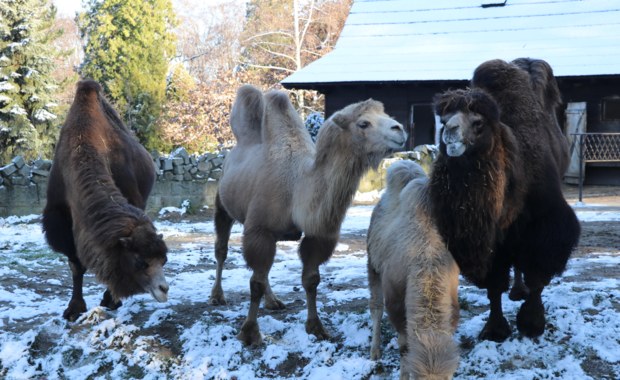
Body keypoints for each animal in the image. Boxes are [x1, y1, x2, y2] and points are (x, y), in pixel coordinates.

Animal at [213, 84, 406, 346]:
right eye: (364, 123)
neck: (297, 188)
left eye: (385, 115)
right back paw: (217, 296)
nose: (400, 129)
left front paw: (316, 327)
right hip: (222, 201)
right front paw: (249, 332)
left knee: (264, 271)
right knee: (222, 249)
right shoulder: (259, 230)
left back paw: (273, 301)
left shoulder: (319, 235)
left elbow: (311, 280)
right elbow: (255, 283)